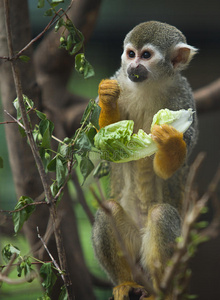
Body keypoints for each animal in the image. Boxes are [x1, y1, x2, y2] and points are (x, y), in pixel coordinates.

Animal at [92, 21, 199, 300]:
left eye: (146, 56)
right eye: (131, 54)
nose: (133, 67)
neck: (148, 85)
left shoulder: (184, 97)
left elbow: (165, 170)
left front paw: (171, 140)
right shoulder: (120, 78)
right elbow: (110, 143)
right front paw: (107, 99)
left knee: (161, 214)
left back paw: (161, 290)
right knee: (109, 209)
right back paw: (125, 282)